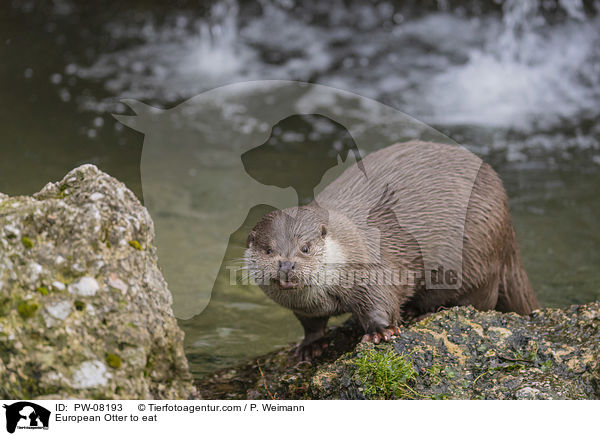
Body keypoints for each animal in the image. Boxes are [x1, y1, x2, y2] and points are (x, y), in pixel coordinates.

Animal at [244, 141, 540, 360]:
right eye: (269, 250)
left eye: (304, 247)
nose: (286, 265)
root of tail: (508, 225)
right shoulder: (305, 309)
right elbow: (311, 325)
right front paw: (310, 346)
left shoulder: (373, 270)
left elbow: (383, 301)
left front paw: (380, 333)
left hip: (478, 249)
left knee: (480, 300)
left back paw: (427, 311)